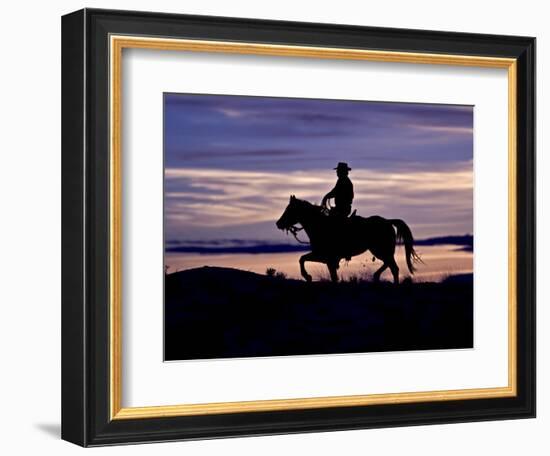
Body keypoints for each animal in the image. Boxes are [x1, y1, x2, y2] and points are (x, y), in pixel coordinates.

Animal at [276, 195, 422, 284]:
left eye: (289, 209)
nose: (278, 223)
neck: (320, 225)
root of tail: (387, 221)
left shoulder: (324, 256)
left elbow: (302, 259)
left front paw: (307, 276)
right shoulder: (326, 258)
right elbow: (308, 261)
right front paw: (308, 276)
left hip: (381, 250)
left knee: (393, 267)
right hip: (381, 251)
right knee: (390, 266)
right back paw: (376, 276)